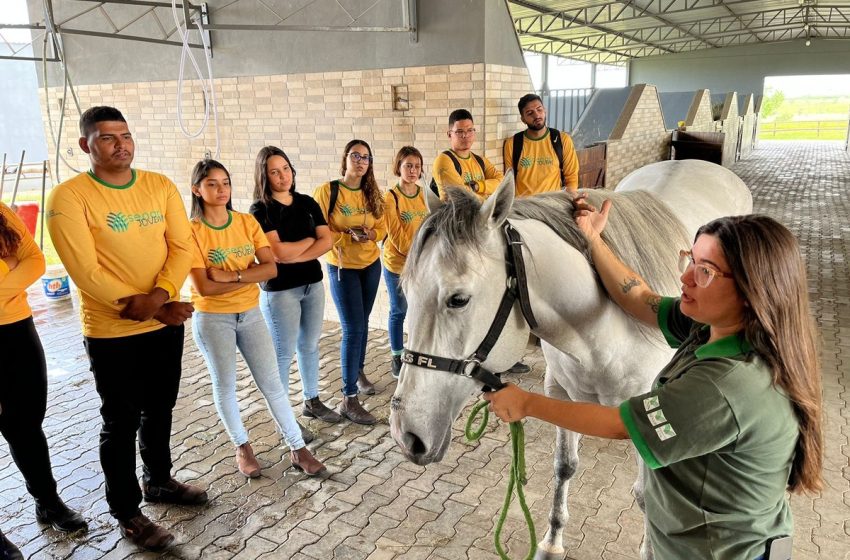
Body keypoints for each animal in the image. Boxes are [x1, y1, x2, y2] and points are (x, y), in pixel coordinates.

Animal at [388, 160, 752, 560]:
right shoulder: (561, 393)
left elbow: (647, 498)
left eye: (458, 299)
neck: (599, 326)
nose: (406, 436)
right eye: (405, 292)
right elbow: (564, 467)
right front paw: (551, 541)